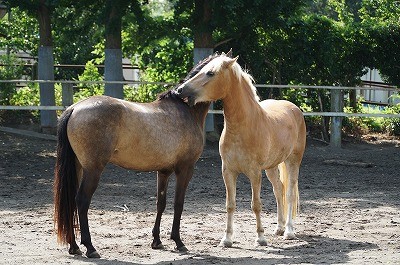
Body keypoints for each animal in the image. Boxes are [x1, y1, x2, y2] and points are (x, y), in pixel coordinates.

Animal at [52, 54, 217, 256]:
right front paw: (178, 242)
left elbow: (161, 203)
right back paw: (90, 247)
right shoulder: (185, 169)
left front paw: (157, 241)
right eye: (210, 72)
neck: (186, 111)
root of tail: (74, 108)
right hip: (93, 170)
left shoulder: (164, 171)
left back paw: (74, 246)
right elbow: (178, 204)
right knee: (81, 201)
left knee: (71, 202)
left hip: (77, 167)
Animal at [176, 53, 306, 245]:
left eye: (210, 73)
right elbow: (230, 205)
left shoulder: (254, 172)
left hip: (293, 161)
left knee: (289, 192)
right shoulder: (228, 171)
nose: (180, 90)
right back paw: (279, 228)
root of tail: (294, 108)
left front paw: (260, 237)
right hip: (271, 167)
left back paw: (289, 231)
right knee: (278, 190)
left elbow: (256, 204)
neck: (243, 127)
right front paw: (227, 239)